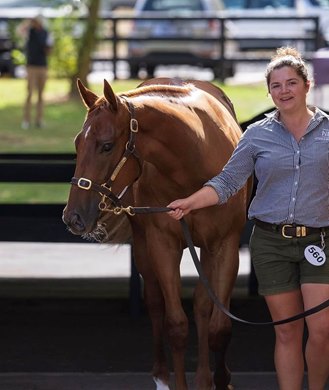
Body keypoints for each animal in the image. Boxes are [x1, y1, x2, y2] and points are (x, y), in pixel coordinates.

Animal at [62, 77, 251, 388]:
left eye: (106, 146)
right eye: (78, 142)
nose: (73, 216)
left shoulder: (225, 246)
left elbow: (219, 328)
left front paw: (222, 379)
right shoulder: (163, 244)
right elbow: (176, 326)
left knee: (202, 304)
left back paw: (204, 378)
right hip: (143, 246)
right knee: (154, 302)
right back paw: (161, 376)